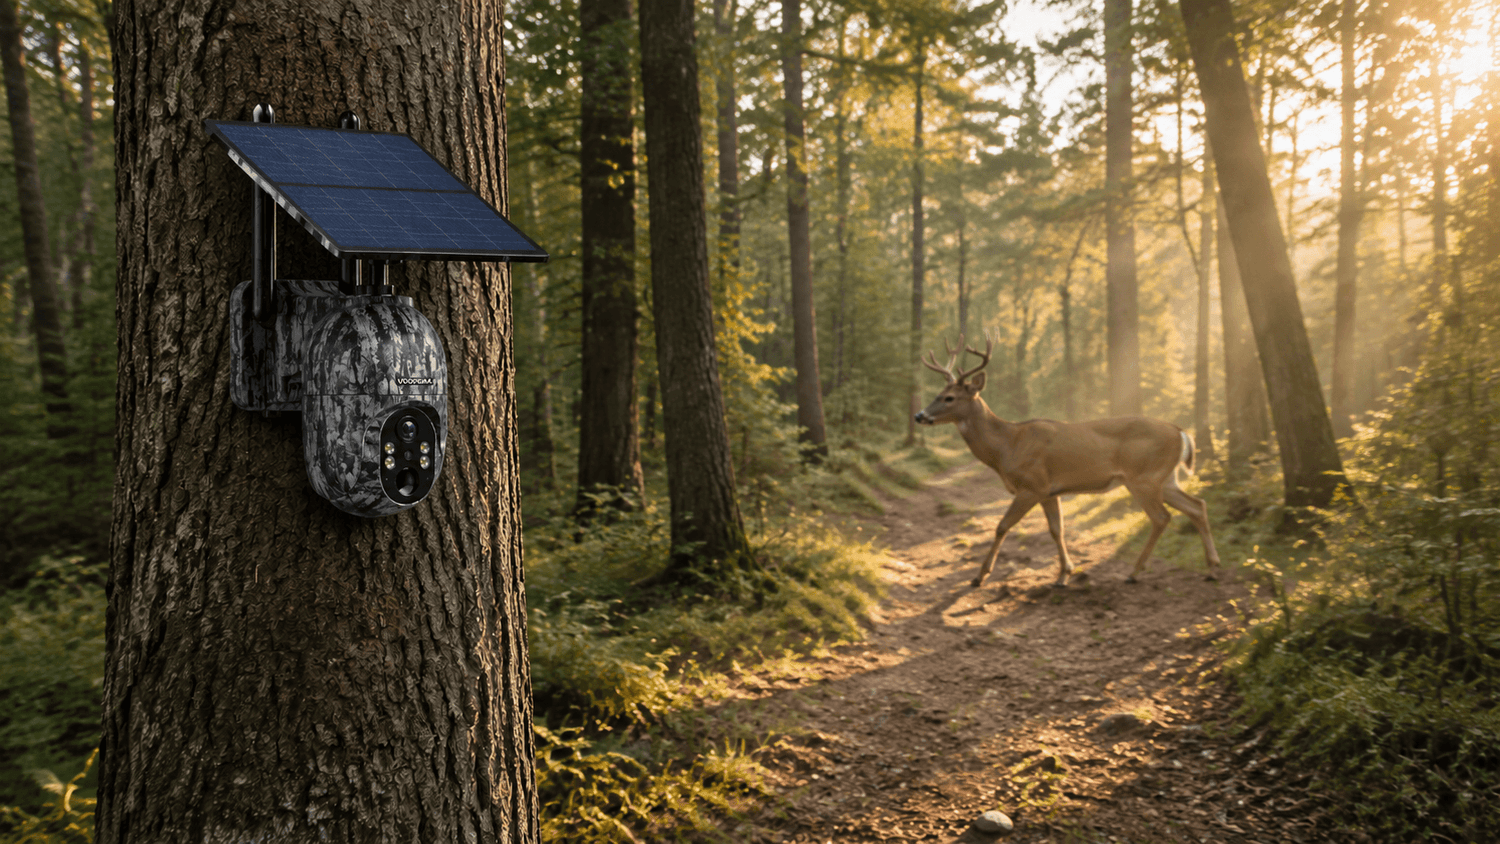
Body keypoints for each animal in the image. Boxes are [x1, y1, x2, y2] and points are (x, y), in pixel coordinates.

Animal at [914, 336, 1221, 588]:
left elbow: (1002, 526)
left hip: (1143, 477)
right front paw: (1064, 575)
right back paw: (1212, 569)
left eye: (949, 397)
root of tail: (1181, 432)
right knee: (1198, 506)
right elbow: (1056, 530)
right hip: (1165, 478)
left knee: (1162, 517)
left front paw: (979, 576)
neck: (1007, 445)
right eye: (938, 394)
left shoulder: (1032, 485)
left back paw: (1135, 573)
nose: (919, 415)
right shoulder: (1050, 491)